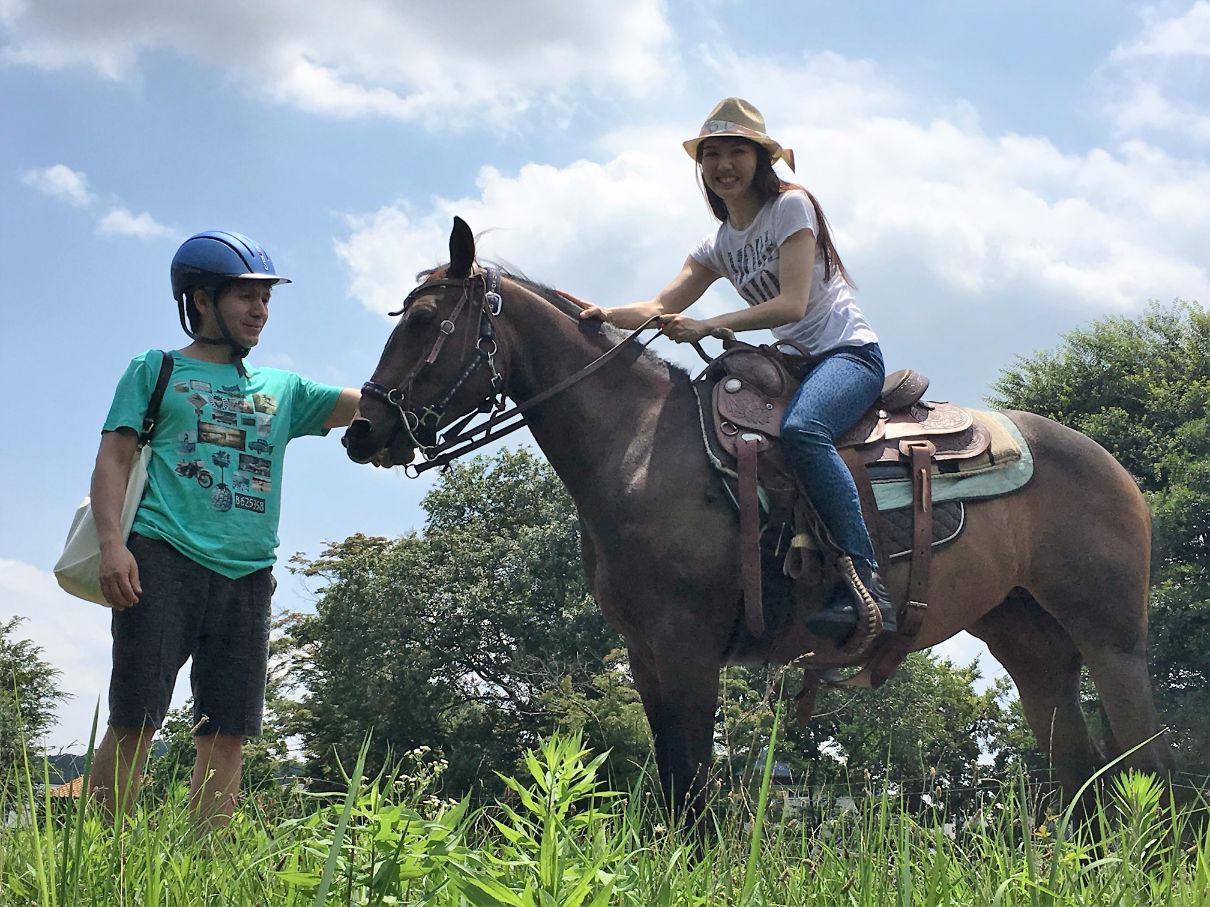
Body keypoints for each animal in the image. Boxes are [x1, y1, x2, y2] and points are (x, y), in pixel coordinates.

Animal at [343, 216, 1171, 822]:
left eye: (425, 320)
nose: (363, 430)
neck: (642, 445)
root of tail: (1113, 466)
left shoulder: (687, 646)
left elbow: (693, 791)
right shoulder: (648, 652)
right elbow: (675, 785)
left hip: (1111, 637)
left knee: (1146, 761)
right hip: (1031, 643)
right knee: (1080, 774)